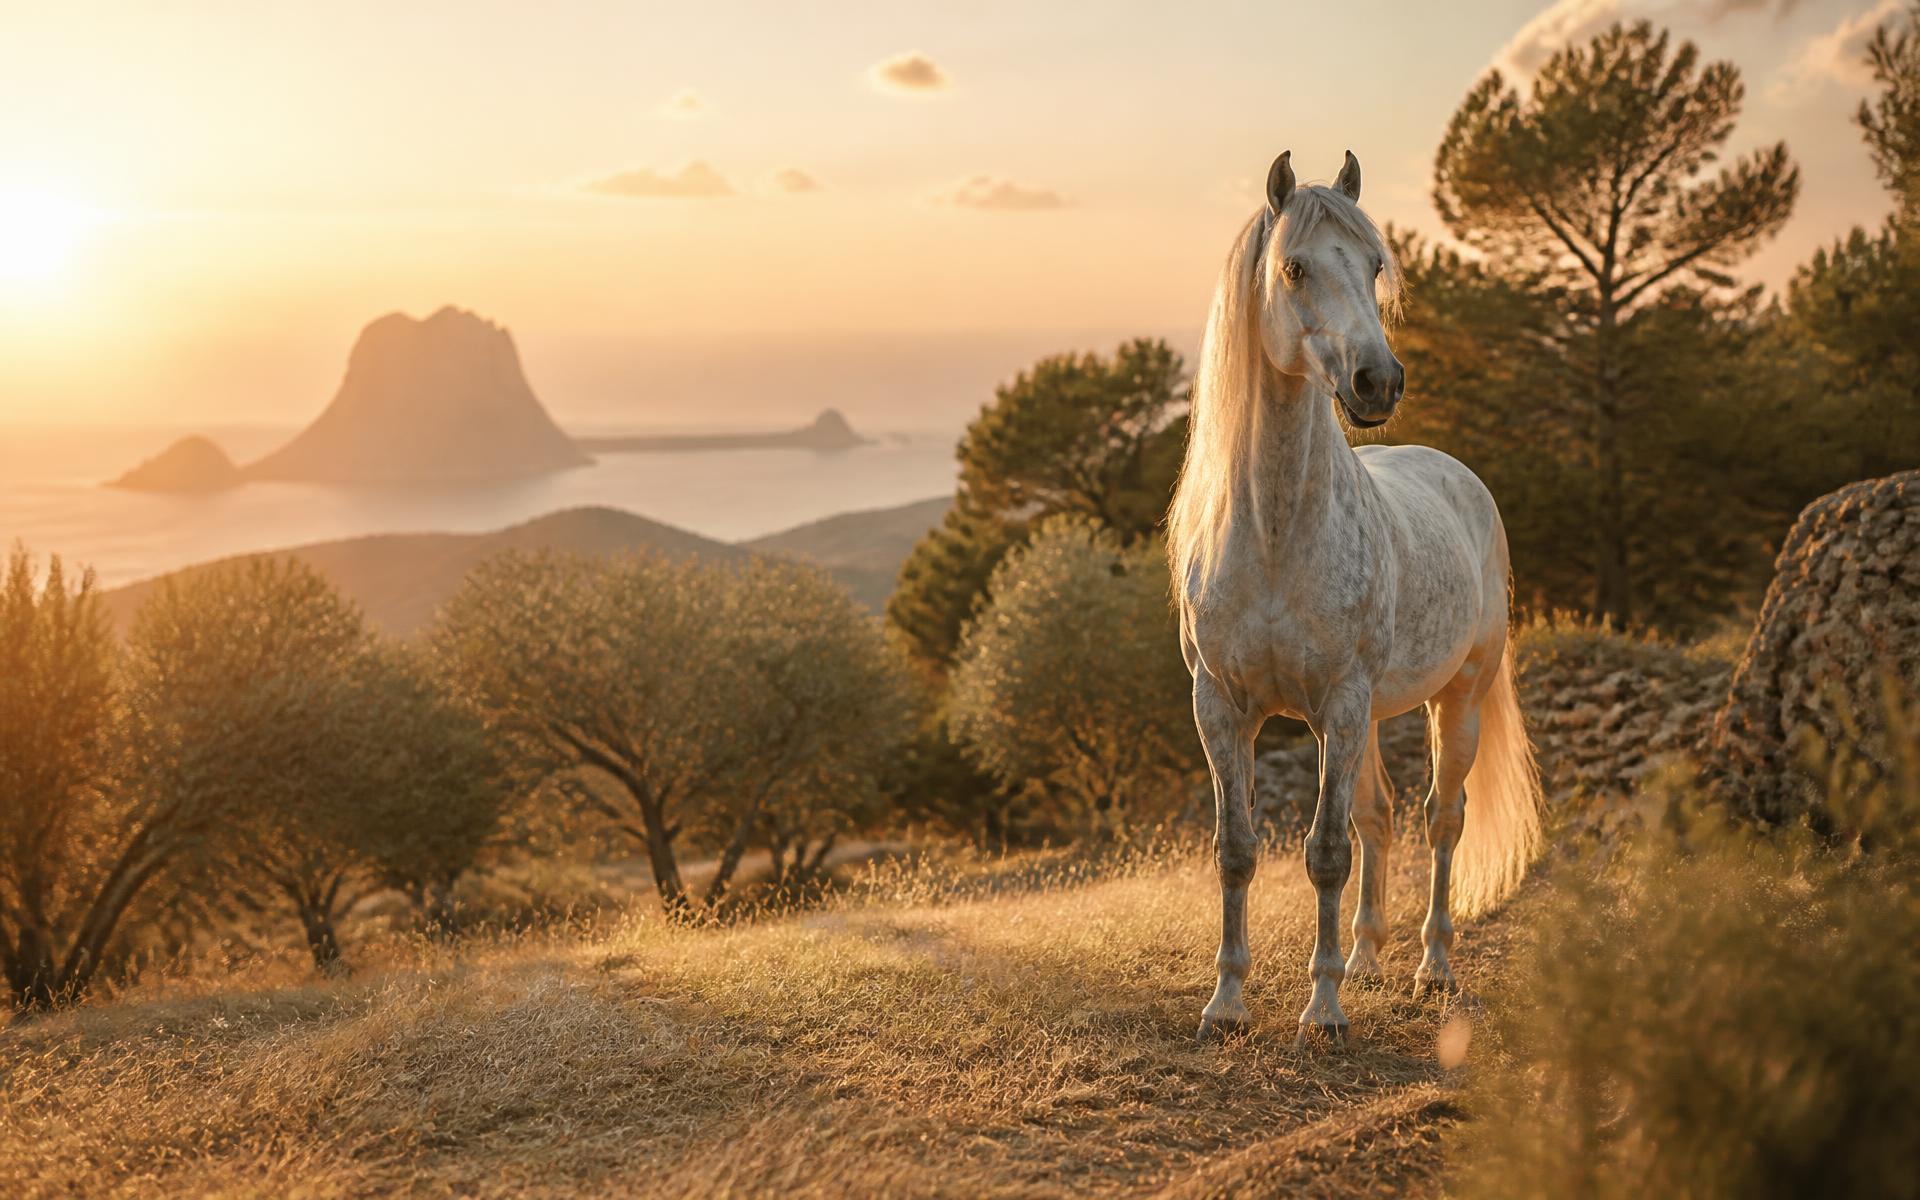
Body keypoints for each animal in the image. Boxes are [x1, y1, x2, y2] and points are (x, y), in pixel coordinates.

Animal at [1167, 150, 1542, 1041]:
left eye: (1375, 266)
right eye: (1295, 268)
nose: (1379, 382)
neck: (1274, 534)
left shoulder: (1338, 703)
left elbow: (1325, 851)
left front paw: (1323, 1010)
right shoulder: (1221, 706)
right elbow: (1239, 849)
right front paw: (1226, 1002)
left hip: (1455, 698)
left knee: (1442, 819)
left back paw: (1431, 966)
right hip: (1369, 718)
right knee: (1380, 814)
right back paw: (1369, 955)